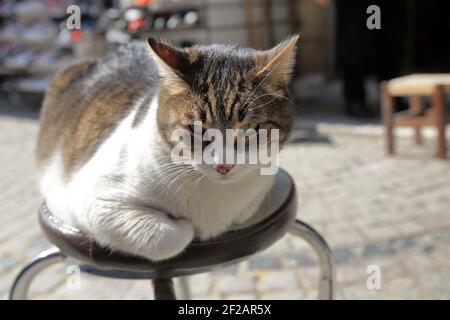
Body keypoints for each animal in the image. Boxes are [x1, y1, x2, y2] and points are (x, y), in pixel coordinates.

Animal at [36, 35, 298, 260]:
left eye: (250, 128)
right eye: (197, 129)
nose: (223, 166)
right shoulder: (92, 199)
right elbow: (173, 235)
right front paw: (188, 225)